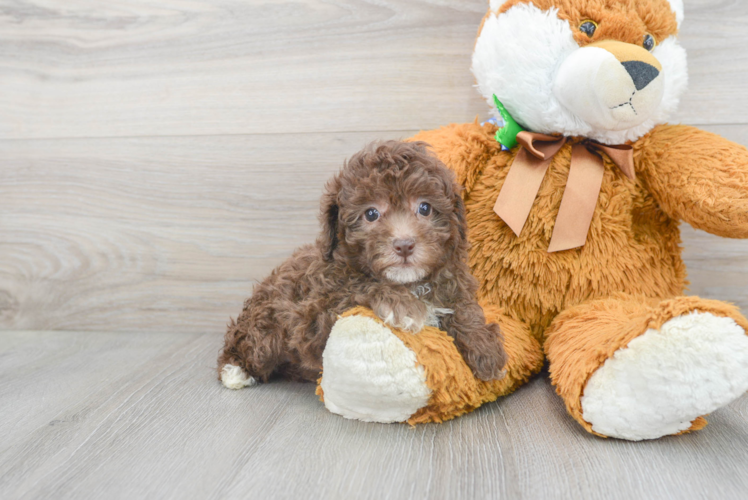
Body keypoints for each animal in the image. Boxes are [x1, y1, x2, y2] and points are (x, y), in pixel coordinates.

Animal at [216, 139, 508, 388]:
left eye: (425, 208)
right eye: (371, 214)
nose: (404, 245)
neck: (410, 283)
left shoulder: (453, 279)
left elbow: (464, 307)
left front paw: (485, 347)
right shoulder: (314, 315)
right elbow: (359, 285)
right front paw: (403, 306)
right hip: (265, 329)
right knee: (245, 345)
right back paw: (235, 371)